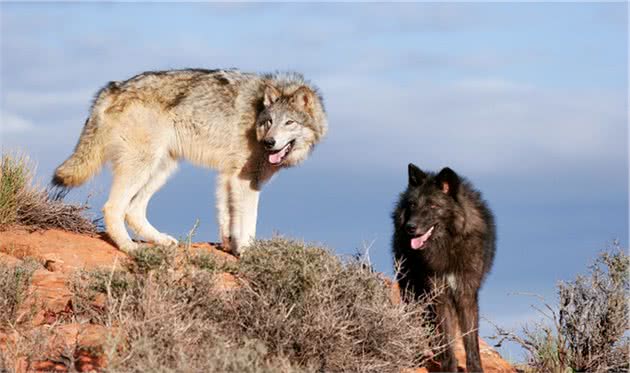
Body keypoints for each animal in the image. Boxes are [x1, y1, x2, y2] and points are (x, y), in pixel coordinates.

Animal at [53, 68, 328, 254]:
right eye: (269, 122)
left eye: (289, 122)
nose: (270, 143)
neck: (257, 115)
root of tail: (114, 87)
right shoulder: (246, 182)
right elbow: (248, 221)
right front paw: (248, 252)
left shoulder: (227, 177)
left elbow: (227, 219)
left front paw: (229, 247)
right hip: (143, 166)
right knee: (113, 208)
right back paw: (130, 248)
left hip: (162, 169)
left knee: (133, 210)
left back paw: (161, 240)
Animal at [390, 163, 498, 372]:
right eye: (413, 205)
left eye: (433, 205)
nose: (410, 227)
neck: (448, 245)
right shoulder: (440, 295)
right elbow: (446, 340)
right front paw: (448, 366)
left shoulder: (466, 294)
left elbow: (471, 342)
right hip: (411, 288)